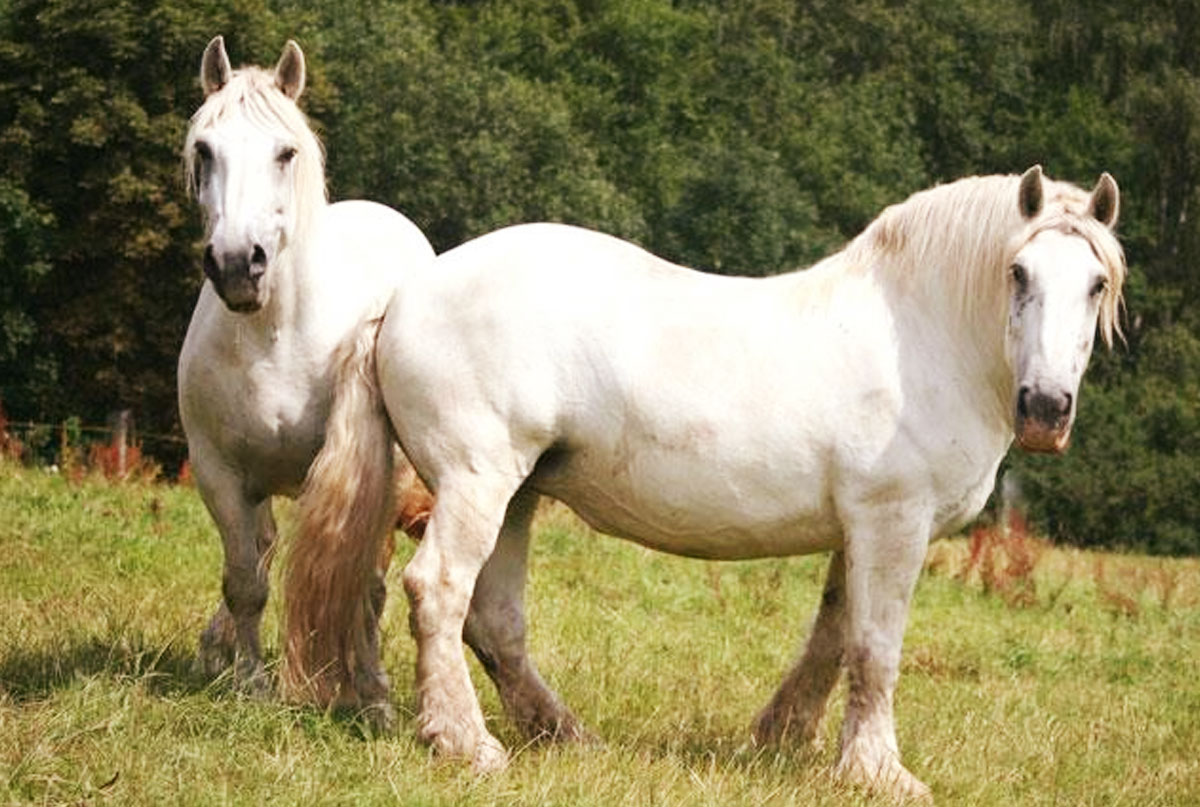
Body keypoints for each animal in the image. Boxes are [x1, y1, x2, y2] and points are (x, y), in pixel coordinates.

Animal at [176, 36, 435, 727]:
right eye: (204, 150)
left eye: (284, 152)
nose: (237, 264)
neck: (274, 335)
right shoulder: (220, 473)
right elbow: (245, 580)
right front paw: (251, 683)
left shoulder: (374, 477)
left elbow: (366, 586)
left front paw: (374, 698)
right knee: (261, 553)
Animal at [290, 166, 1124, 800]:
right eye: (1018, 273)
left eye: (1094, 285)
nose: (1047, 408)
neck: (919, 336)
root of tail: (404, 296)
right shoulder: (894, 520)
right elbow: (875, 645)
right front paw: (878, 770)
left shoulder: (857, 527)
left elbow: (832, 634)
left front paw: (784, 738)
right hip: (477, 480)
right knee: (438, 590)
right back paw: (465, 742)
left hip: (516, 494)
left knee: (494, 620)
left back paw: (564, 735)